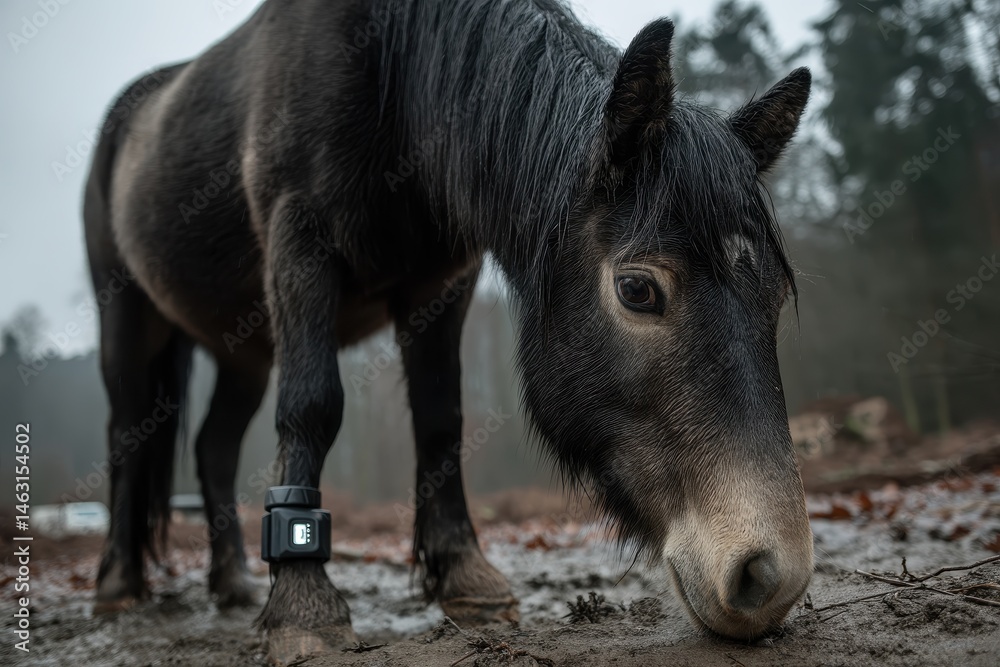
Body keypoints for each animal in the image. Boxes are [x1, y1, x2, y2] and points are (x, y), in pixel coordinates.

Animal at [83, 0, 814, 662]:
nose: (769, 575)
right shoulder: (300, 247)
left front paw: (466, 578)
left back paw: (233, 581)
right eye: (637, 289)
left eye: (775, 296)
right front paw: (303, 603)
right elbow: (313, 406)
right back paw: (119, 584)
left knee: (213, 447)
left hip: (245, 349)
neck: (390, 74)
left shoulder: (441, 284)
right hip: (128, 319)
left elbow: (441, 417)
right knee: (126, 435)